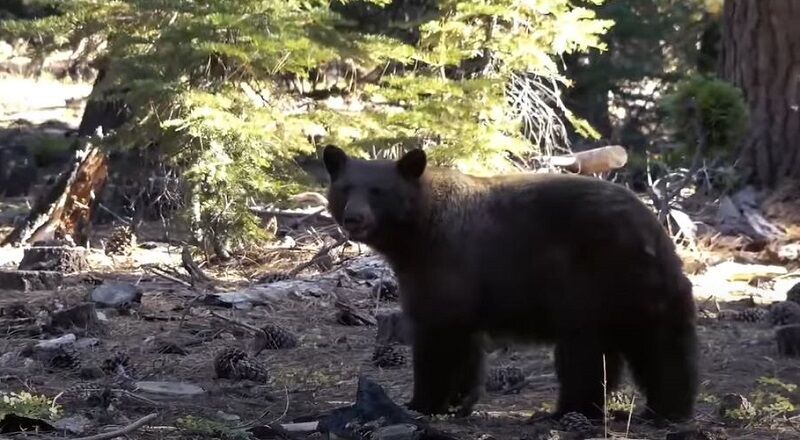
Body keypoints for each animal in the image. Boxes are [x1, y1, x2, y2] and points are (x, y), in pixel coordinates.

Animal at [321, 145, 698, 423]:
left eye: (378, 191)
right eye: (345, 188)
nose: (354, 218)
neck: (417, 232)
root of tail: (651, 229)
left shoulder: (445, 263)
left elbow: (438, 335)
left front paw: (421, 402)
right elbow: (466, 346)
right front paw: (458, 401)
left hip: (593, 284)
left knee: (588, 351)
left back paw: (567, 411)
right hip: (641, 290)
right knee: (661, 345)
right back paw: (667, 409)